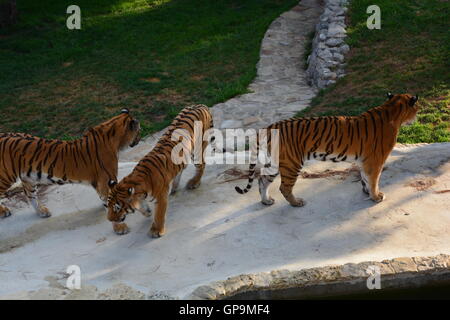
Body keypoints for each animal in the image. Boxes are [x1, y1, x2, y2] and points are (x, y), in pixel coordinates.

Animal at [0, 109, 141, 219]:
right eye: (139, 131)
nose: (139, 139)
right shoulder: (107, 179)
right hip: (5, 177)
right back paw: (4, 212)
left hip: (28, 177)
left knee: (29, 195)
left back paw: (42, 212)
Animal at [108, 105, 215, 238]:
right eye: (107, 205)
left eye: (117, 208)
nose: (109, 219)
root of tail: (200, 105)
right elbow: (142, 206)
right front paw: (147, 212)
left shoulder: (161, 196)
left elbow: (159, 214)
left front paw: (156, 230)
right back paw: (174, 187)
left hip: (198, 149)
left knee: (201, 165)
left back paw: (194, 182)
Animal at [236, 93, 418, 208]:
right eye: (417, 107)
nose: (417, 116)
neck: (391, 109)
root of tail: (269, 127)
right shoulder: (376, 160)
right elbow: (374, 180)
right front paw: (376, 197)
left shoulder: (365, 161)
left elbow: (366, 178)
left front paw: (367, 191)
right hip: (291, 163)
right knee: (284, 187)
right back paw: (297, 203)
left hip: (275, 162)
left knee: (262, 180)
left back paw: (266, 201)